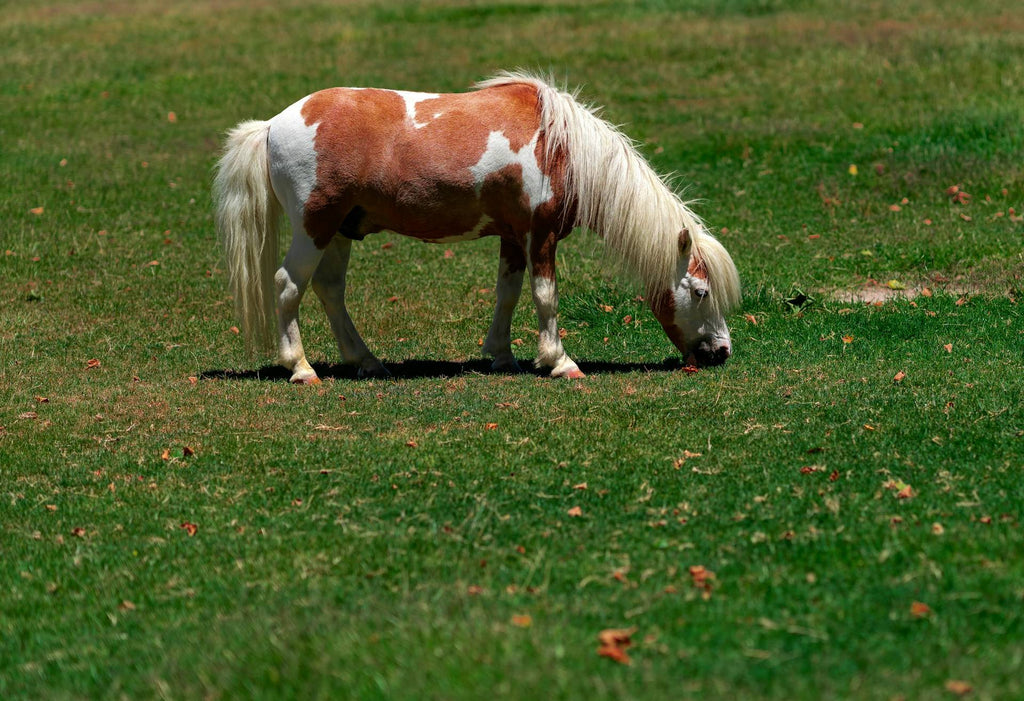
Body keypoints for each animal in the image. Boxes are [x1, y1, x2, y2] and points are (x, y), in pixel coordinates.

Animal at [216, 71, 741, 382]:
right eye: (700, 291)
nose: (721, 352)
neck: (560, 146)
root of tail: (273, 124)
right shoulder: (540, 234)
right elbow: (545, 296)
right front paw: (560, 362)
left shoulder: (513, 236)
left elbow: (507, 293)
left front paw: (503, 355)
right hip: (315, 227)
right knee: (288, 285)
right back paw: (301, 369)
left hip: (341, 230)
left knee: (329, 290)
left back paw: (365, 361)